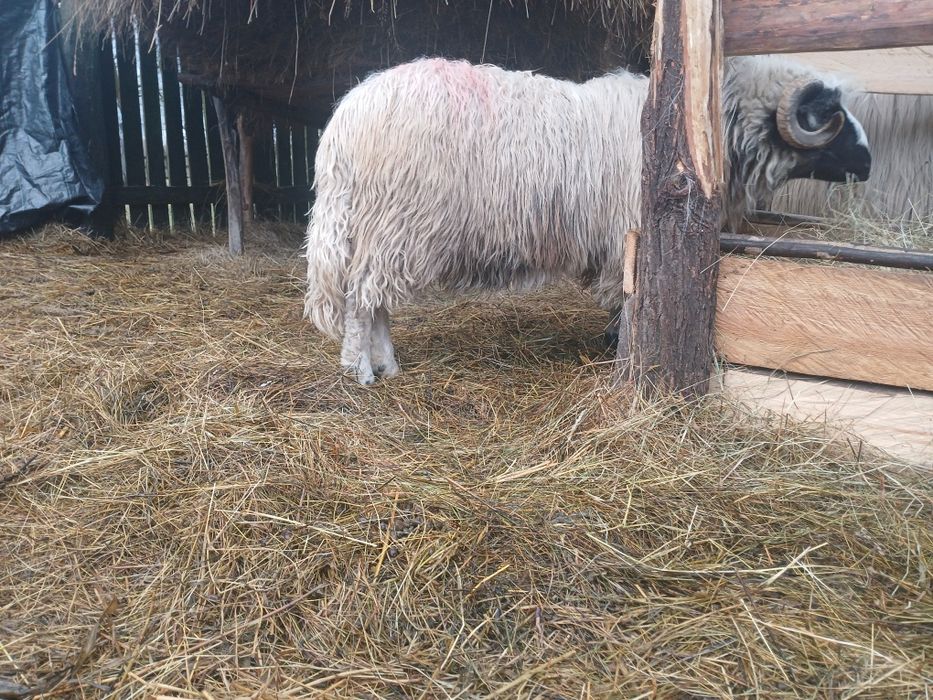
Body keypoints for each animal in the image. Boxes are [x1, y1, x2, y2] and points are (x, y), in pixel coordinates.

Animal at [304, 56, 872, 384]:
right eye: (827, 115)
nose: (868, 164)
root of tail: (344, 122)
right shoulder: (628, 236)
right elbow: (626, 300)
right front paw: (622, 348)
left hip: (383, 230)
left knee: (373, 299)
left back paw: (387, 364)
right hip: (396, 221)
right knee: (361, 301)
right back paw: (360, 369)